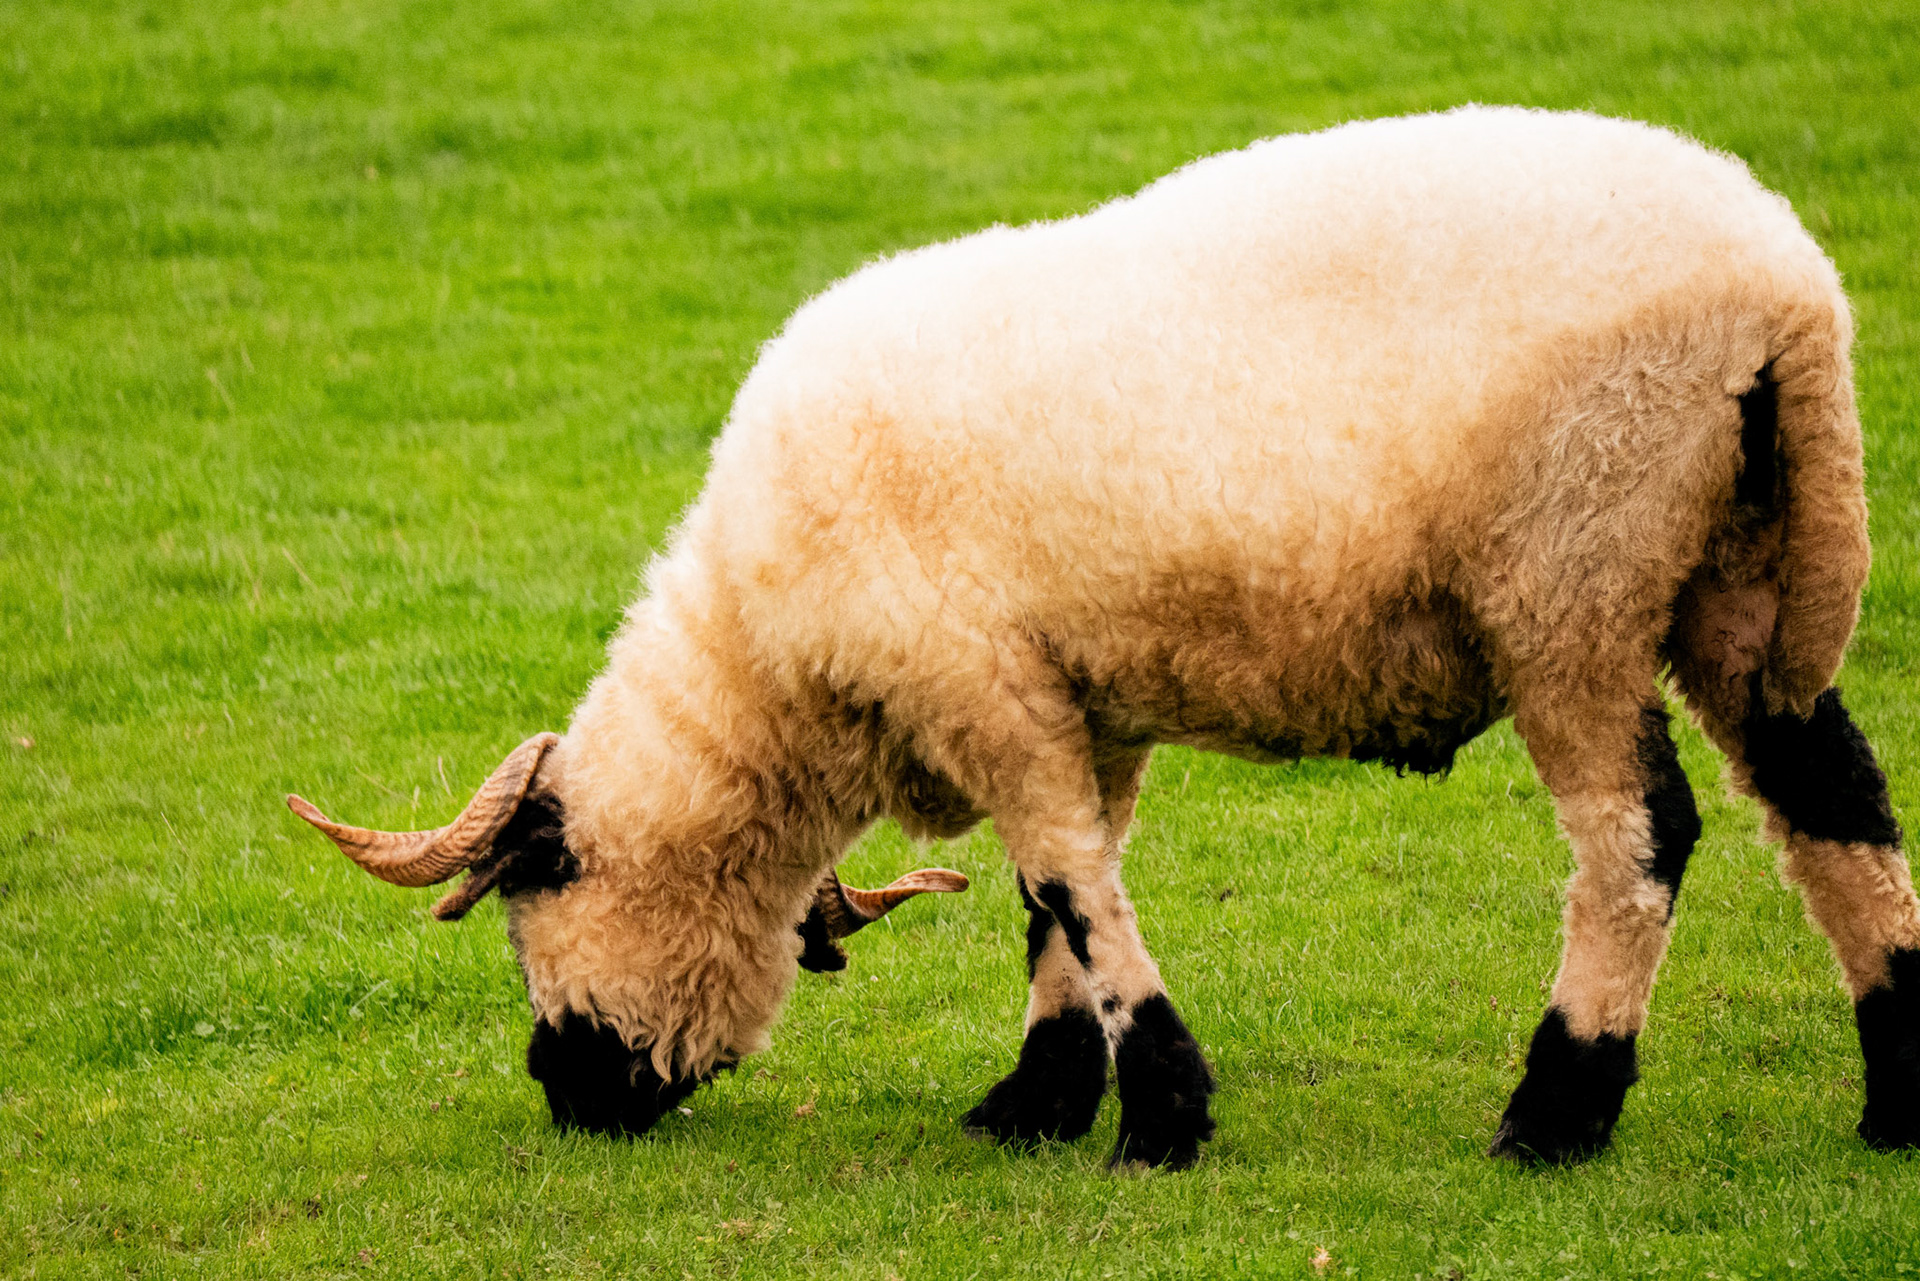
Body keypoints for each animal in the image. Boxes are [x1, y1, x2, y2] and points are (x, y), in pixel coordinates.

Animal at [288, 105, 1920, 1168]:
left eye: (527, 907)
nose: (564, 1090)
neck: (779, 673)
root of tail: (1787, 294)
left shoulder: (978, 680)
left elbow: (1075, 887)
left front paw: (1160, 1113)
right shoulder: (1070, 694)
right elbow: (1055, 890)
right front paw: (1044, 1096)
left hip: (1573, 566)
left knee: (1640, 841)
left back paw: (1558, 1109)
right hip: (1739, 568)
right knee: (1835, 805)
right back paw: (1900, 1089)